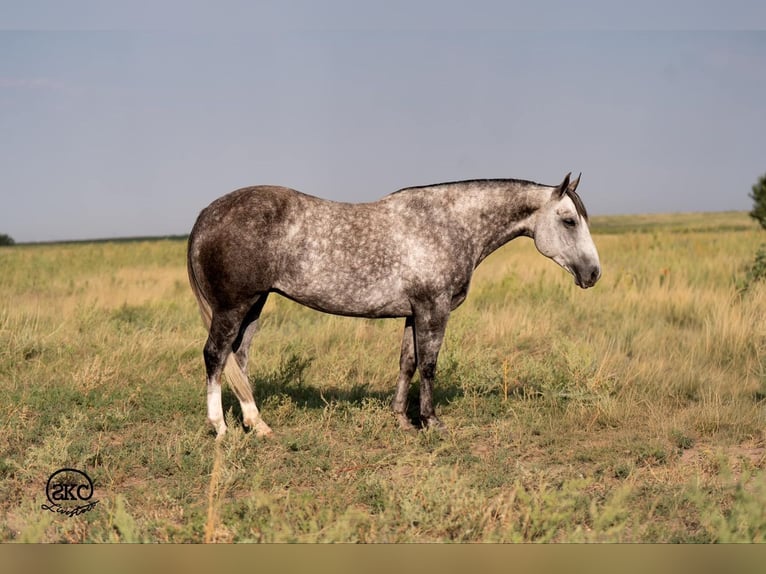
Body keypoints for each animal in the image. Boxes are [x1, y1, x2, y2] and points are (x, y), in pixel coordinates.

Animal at [187, 172, 601, 438]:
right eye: (568, 221)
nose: (593, 273)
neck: (447, 224)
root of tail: (207, 213)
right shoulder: (434, 309)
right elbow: (430, 365)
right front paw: (432, 423)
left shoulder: (412, 313)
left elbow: (408, 363)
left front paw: (401, 420)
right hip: (232, 307)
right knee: (215, 356)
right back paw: (220, 428)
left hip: (254, 306)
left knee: (238, 358)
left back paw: (257, 424)